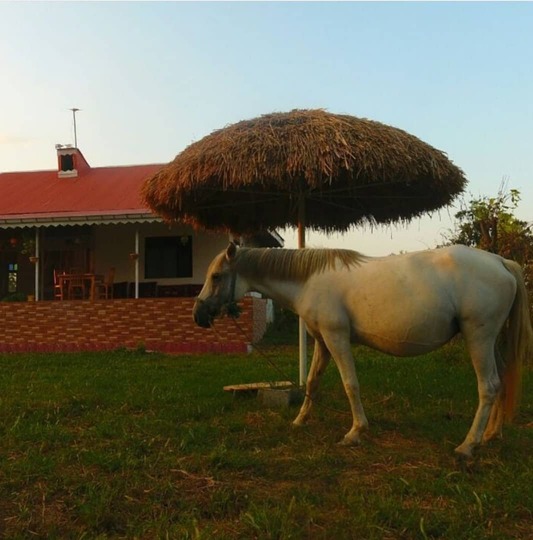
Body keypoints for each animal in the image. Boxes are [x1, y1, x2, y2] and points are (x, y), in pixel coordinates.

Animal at [192, 243, 532, 458]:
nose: (198, 315)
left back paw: (468, 445)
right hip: (489, 341)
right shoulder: (322, 342)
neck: (309, 280)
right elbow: (313, 382)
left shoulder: (336, 338)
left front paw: (355, 432)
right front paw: (300, 420)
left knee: (488, 386)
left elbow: (350, 384)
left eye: (217, 276)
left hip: (479, 338)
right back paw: (491, 435)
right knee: (501, 381)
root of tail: (500, 262)